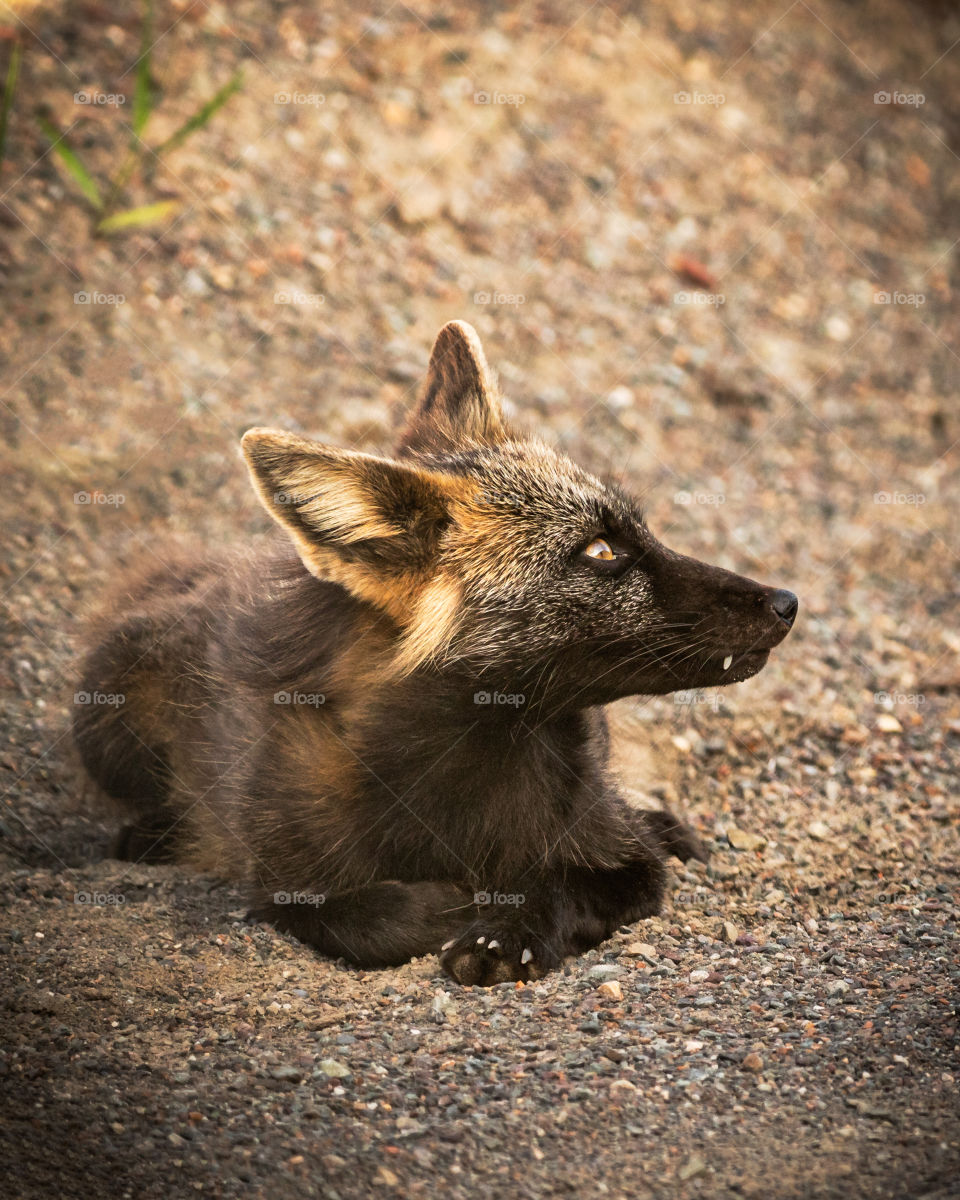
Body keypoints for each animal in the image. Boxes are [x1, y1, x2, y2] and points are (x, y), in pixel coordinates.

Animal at [73, 321, 796, 984]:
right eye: (602, 551)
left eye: (641, 533)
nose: (787, 602)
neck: (461, 789)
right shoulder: (280, 880)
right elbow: (363, 917)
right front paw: (457, 908)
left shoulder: (623, 859)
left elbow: (563, 883)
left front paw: (509, 929)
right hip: (105, 720)